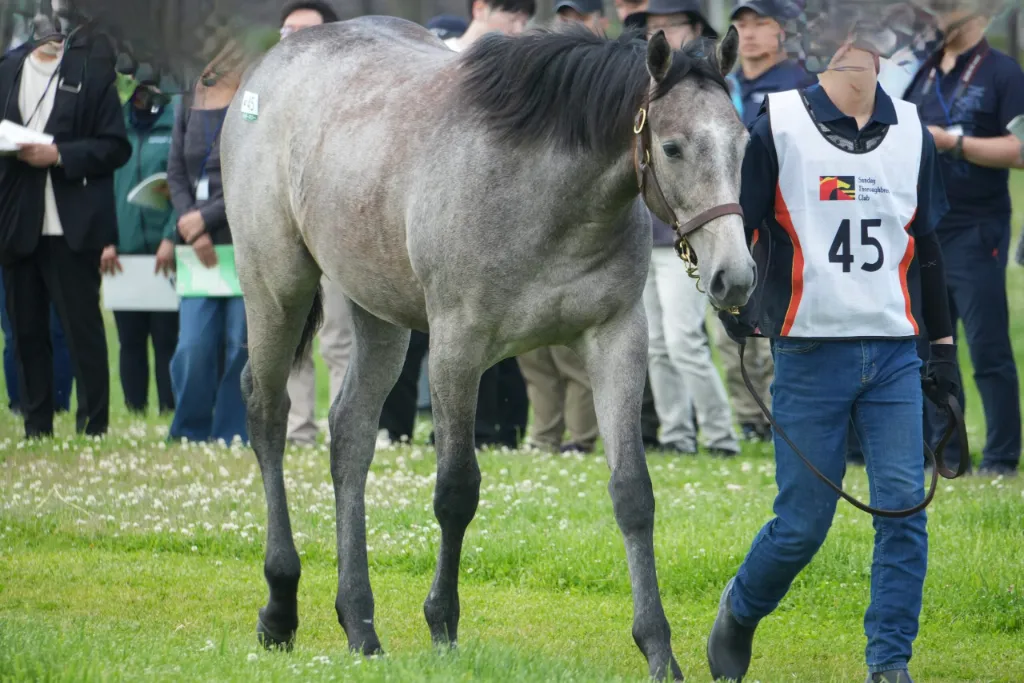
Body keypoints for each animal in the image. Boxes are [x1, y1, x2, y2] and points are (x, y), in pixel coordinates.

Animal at [220, 15, 754, 681]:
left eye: (744, 143)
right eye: (675, 147)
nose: (736, 277)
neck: (543, 195)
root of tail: (274, 63)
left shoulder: (618, 339)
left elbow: (633, 494)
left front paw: (659, 649)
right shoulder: (457, 348)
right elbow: (456, 491)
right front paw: (443, 625)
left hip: (378, 315)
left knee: (350, 438)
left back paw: (360, 623)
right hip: (277, 288)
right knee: (267, 414)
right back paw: (280, 606)